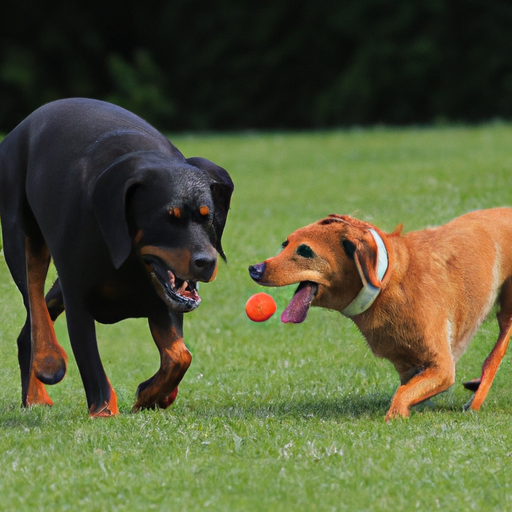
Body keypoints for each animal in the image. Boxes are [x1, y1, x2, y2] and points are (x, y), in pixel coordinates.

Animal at [0, 99, 233, 416]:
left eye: (207, 217)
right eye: (167, 218)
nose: (206, 262)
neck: (131, 264)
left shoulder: (162, 300)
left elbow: (179, 355)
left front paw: (151, 394)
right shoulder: (78, 297)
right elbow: (91, 364)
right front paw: (104, 411)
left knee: (30, 328)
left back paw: (34, 395)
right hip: (21, 237)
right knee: (35, 302)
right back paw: (48, 360)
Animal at [250, 208, 512, 420]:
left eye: (305, 251)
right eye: (285, 244)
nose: (254, 269)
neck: (386, 281)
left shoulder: (443, 367)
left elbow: (403, 393)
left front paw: (394, 416)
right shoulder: (408, 366)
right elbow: (408, 389)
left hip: (506, 310)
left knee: (496, 352)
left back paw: (476, 397)